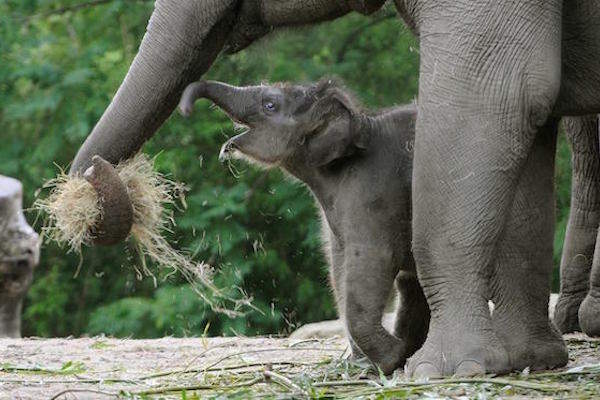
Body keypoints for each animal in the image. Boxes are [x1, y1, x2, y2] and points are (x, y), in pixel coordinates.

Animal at [180, 79, 428, 376]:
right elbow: (339, 267)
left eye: (270, 105)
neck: (362, 123)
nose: (185, 111)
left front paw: (391, 358)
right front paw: (367, 364)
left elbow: (372, 261)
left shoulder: (375, 195)